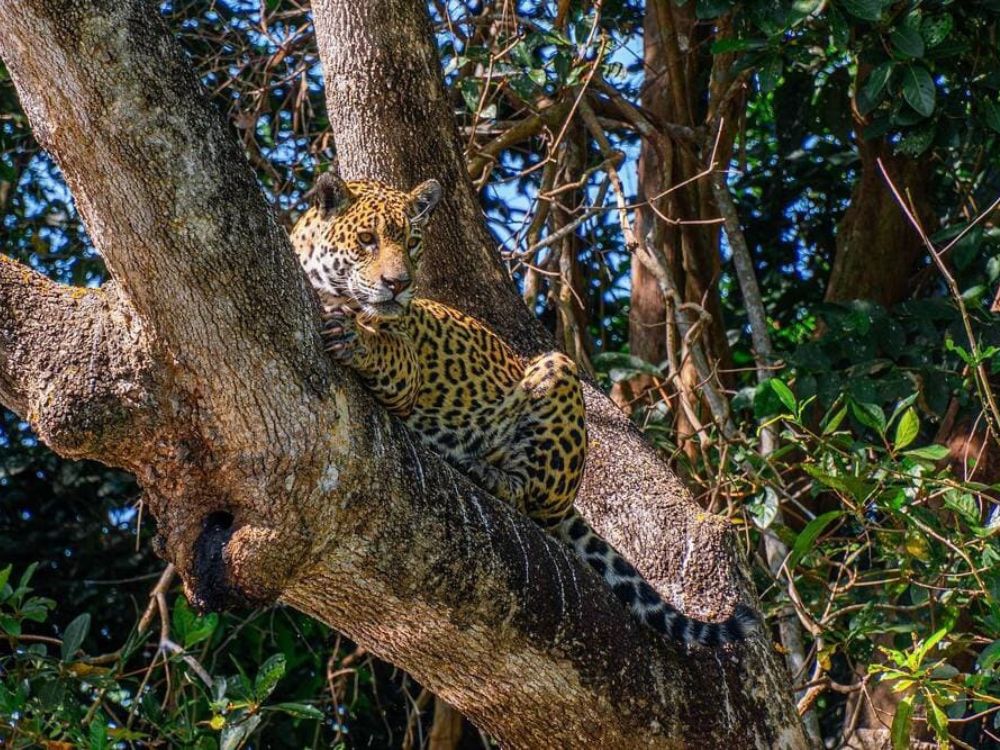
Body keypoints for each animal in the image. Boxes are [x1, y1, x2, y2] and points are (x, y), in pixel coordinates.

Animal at [290, 169, 758, 647]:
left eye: (412, 243)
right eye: (367, 239)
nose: (398, 285)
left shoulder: (407, 363)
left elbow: (383, 345)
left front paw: (355, 336)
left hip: (557, 373)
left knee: (530, 498)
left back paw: (483, 471)